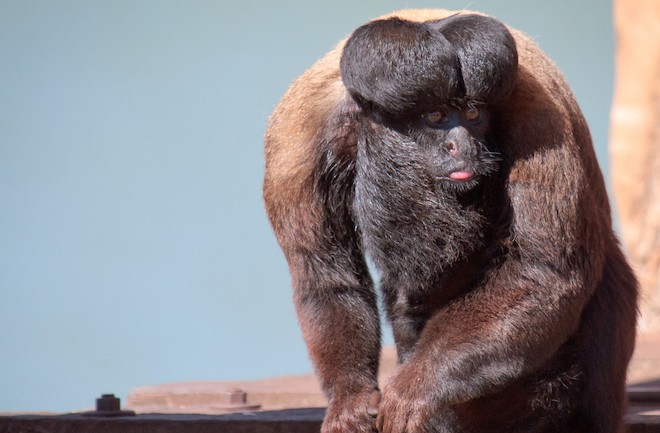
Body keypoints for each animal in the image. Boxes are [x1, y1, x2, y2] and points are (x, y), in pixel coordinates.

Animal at [263, 9, 638, 433]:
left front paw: (414, 389)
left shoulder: (536, 114)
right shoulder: (297, 144)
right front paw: (351, 401)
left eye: (473, 114)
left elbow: (543, 274)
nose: (462, 145)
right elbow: (327, 279)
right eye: (435, 116)